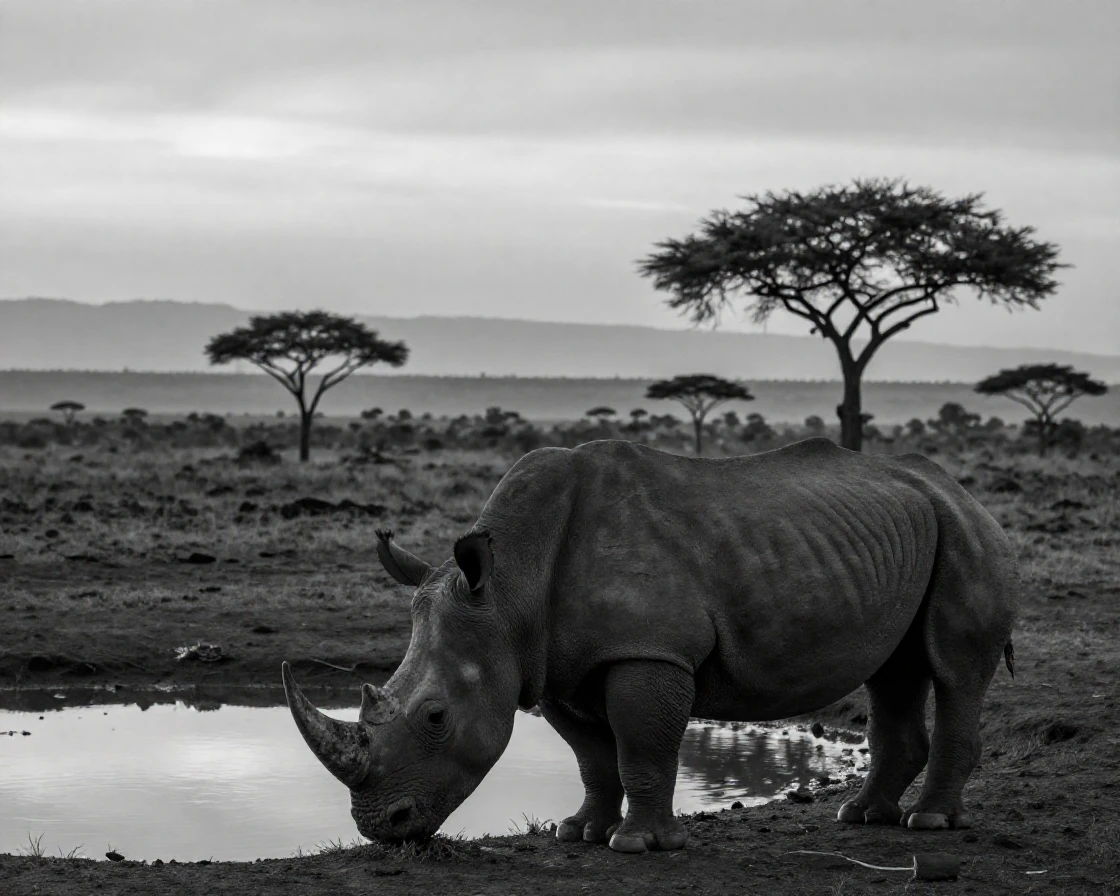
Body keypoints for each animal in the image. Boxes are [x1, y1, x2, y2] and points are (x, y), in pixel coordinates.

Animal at [282, 438, 1018, 854]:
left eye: (436, 717)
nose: (382, 827)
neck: (508, 588)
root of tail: (957, 487)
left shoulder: (647, 650)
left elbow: (641, 744)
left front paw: (637, 845)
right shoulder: (558, 664)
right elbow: (591, 755)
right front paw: (580, 833)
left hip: (965, 530)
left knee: (954, 670)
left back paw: (929, 824)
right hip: (903, 535)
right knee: (894, 671)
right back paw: (861, 818)